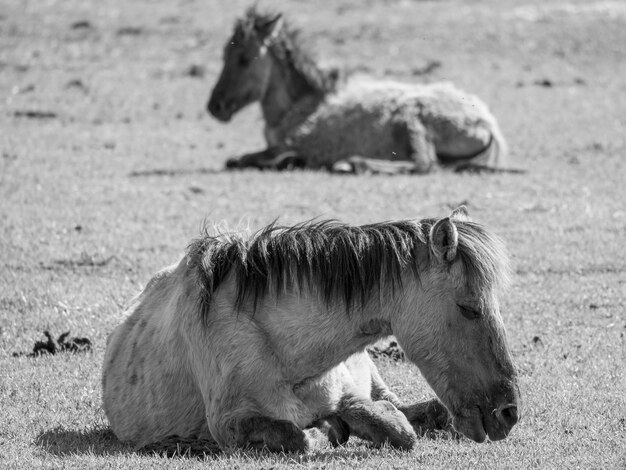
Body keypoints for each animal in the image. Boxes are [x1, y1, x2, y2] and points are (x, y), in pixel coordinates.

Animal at [102, 208, 520, 452]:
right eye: (469, 308)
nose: (509, 412)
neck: (285, 354)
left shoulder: (349, 394)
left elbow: (392, 425)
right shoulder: (230, 424)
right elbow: (300, 437)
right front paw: (325, 431)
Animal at [207, 8, 510, 174]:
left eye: (243, 59)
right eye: (224, 54)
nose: (215, 106)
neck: (301, 104)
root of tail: (487, 123)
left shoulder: (292, 143)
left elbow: (244, 159)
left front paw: (288, 161)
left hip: (413, 119)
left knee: (424, 164)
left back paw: (352, 164)